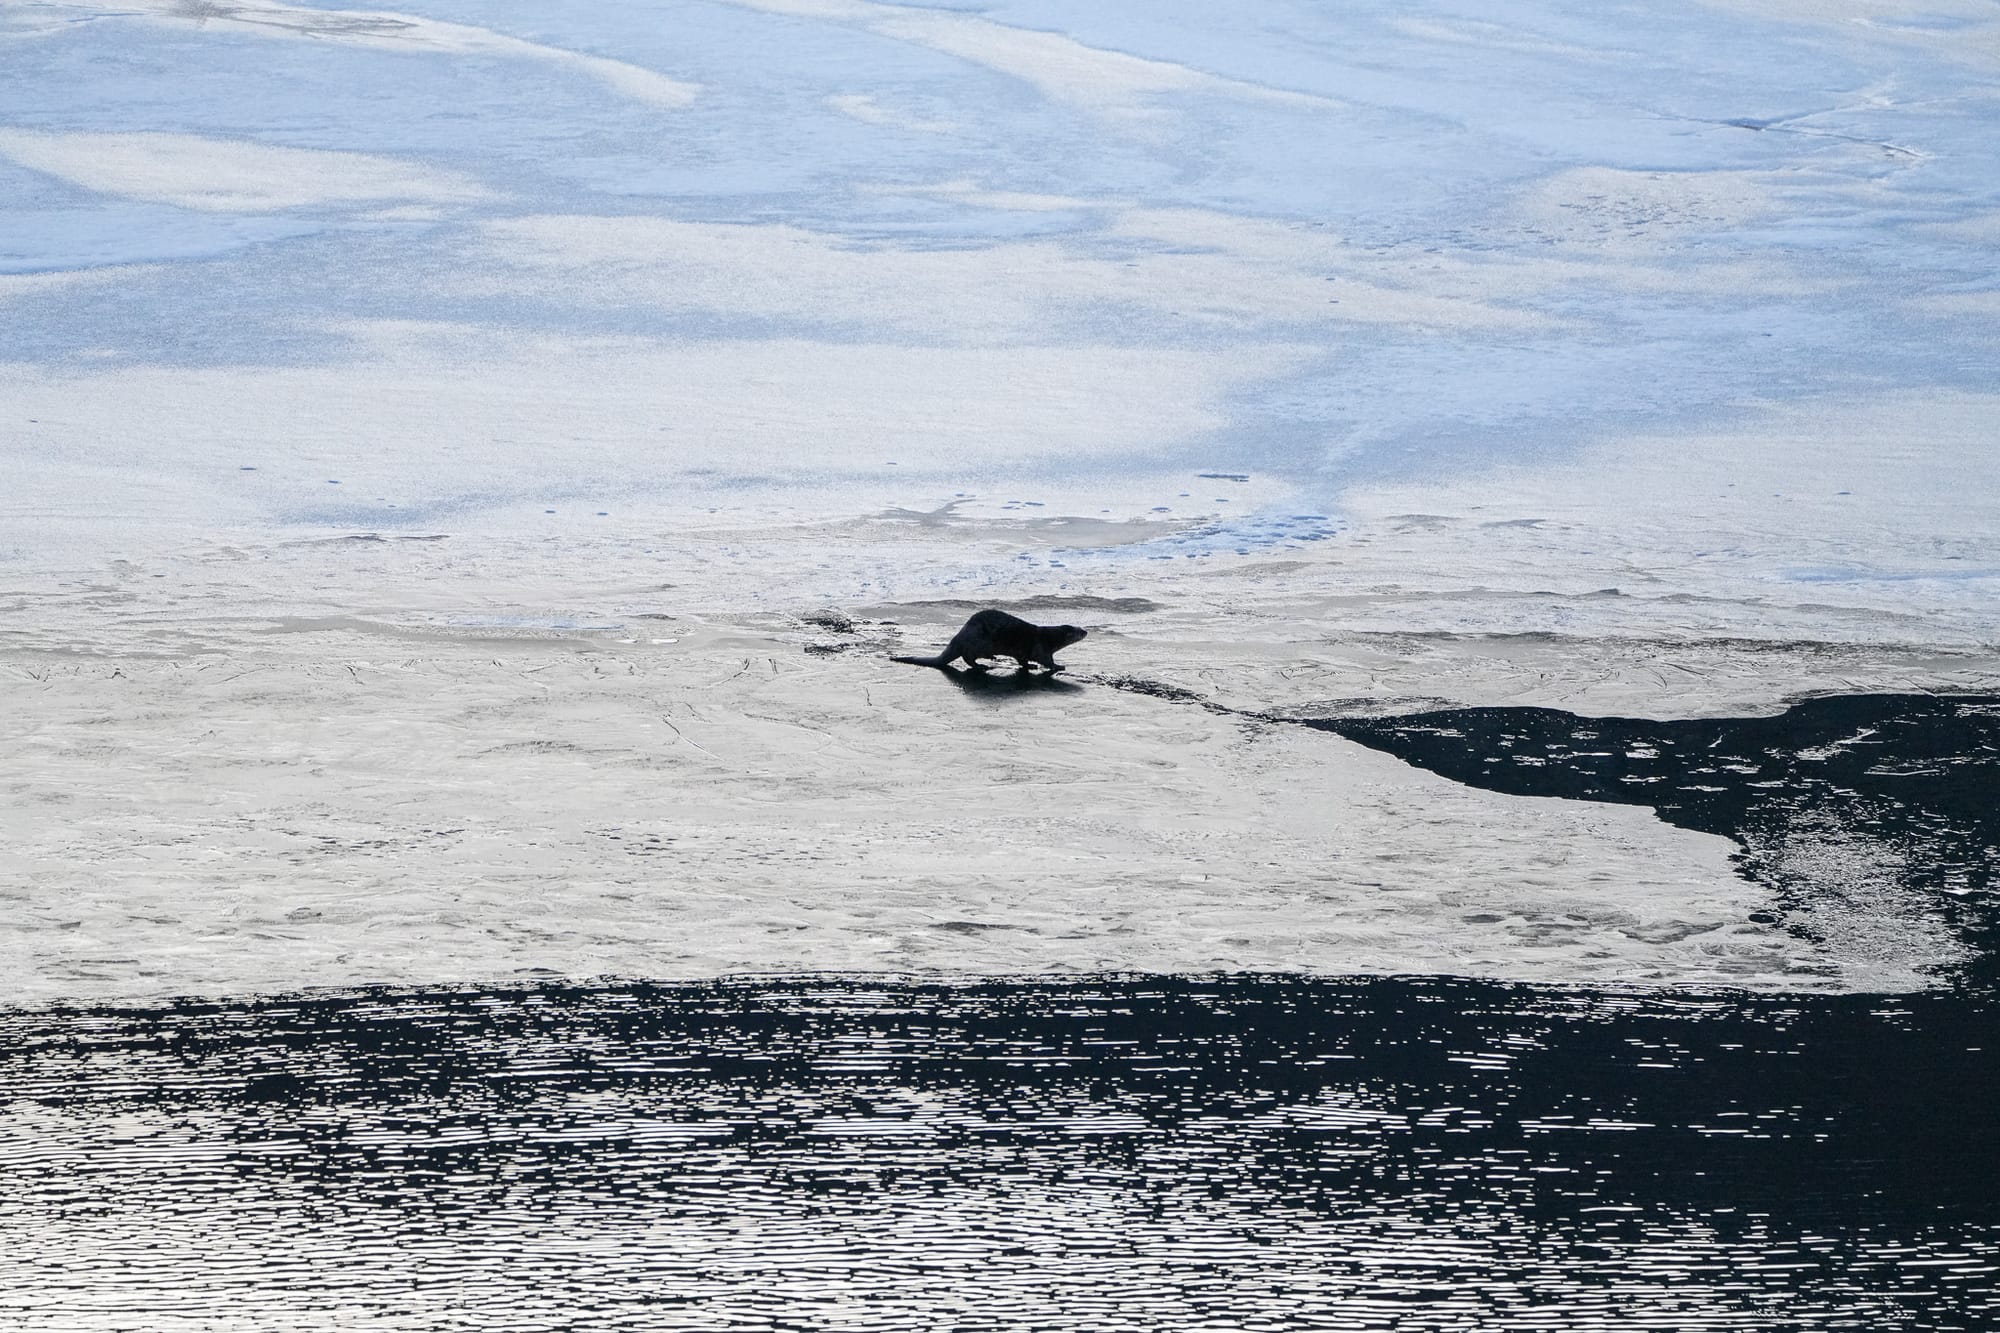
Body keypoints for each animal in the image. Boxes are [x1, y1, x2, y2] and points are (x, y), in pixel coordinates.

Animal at [892, 608, 1088, 673]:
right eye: (1079, 632)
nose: (1086, 631)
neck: (1049, 637)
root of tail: (959, 636)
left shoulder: (1022, 652)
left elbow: (1023, 660)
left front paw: (1030, 666)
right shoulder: (1041, 646)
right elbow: (1047, 660)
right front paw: (1059, 666)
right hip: (977, 642)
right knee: (968, 658)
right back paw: (983, 665)